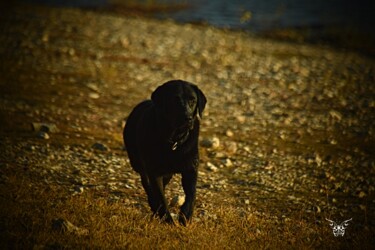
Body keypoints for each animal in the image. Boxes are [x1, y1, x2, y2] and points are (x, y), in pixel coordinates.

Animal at [123, 79, 207, 225]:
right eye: (175, 99)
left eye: (192, 100)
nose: (188, 118)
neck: (174, 140)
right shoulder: (154, 172)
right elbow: (161, 199)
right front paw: (168, 221)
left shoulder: (191, 169)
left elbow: (191, 194)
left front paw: (185, 216)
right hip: (138, 163)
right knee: (146, 183)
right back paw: (153, 205)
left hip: (168, 172)